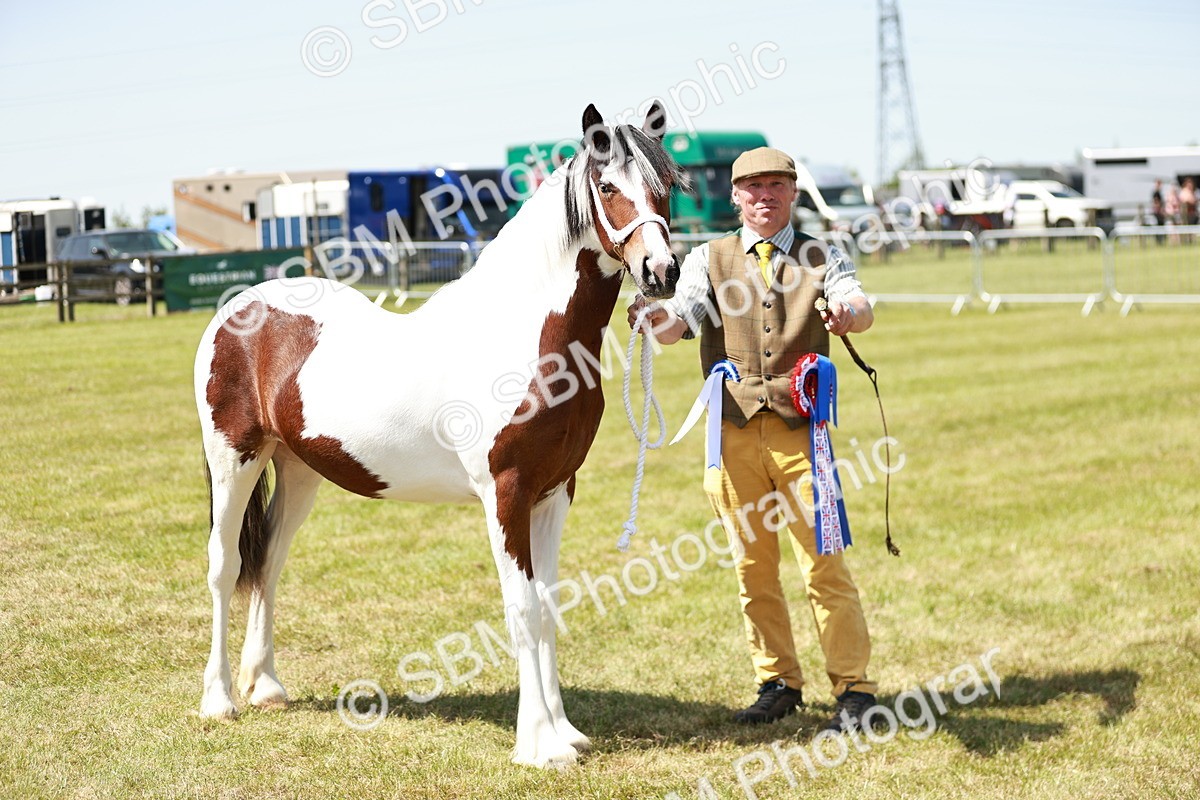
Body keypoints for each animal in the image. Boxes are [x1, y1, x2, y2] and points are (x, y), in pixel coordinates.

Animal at [194, 102, 689, 768]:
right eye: (607, 186)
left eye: (667, 188)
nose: (661, 272)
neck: (524, 336)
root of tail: (239, 307)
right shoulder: (506, 494)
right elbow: (521, 608)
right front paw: (539, 744)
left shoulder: (555, 493)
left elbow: (549, 606)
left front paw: (566, 733)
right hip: (235, 460)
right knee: (225, 566)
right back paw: (219, 700)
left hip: (297, 469)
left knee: (269, 561)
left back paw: (267, 686)